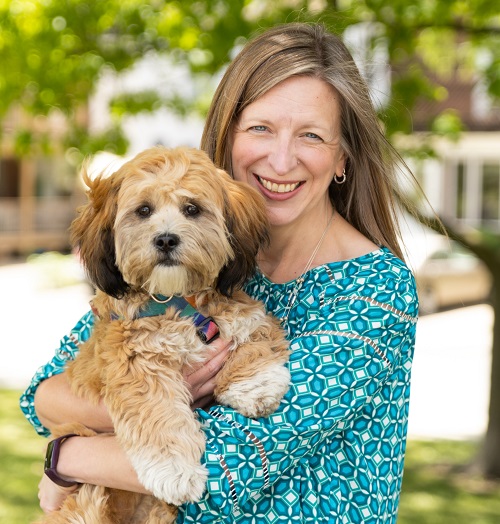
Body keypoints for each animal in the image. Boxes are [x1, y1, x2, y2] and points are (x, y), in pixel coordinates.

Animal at [39, 146, 292, 524]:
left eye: (192, 209)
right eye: (143, 210)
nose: (166, 239)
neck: (177, 301)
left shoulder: (243, 313)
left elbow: (256, 333)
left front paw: (253, 386)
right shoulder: (137, 365)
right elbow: (158, 415)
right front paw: (174, 470)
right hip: (87, 502)